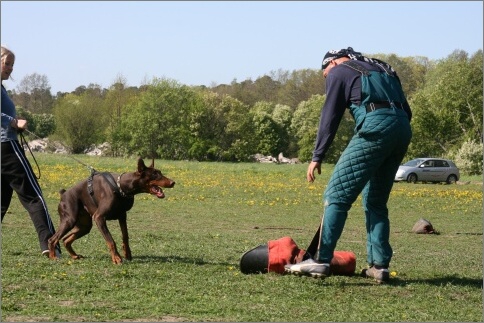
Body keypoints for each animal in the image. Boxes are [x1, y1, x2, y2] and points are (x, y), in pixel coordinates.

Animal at [47, 158, 175, 264]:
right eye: (155, 175)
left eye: (160, 172)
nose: (173, 182)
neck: (121, 186)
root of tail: (63, 194)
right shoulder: (99, 217)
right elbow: (110, 240)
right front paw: (116, 258)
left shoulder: (122, 215)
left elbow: (125, 236)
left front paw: (127, 253)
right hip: (69, 219)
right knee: (53, 239)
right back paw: (53, 257)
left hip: (84, 225)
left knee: (65, 240)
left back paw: (74, 256)